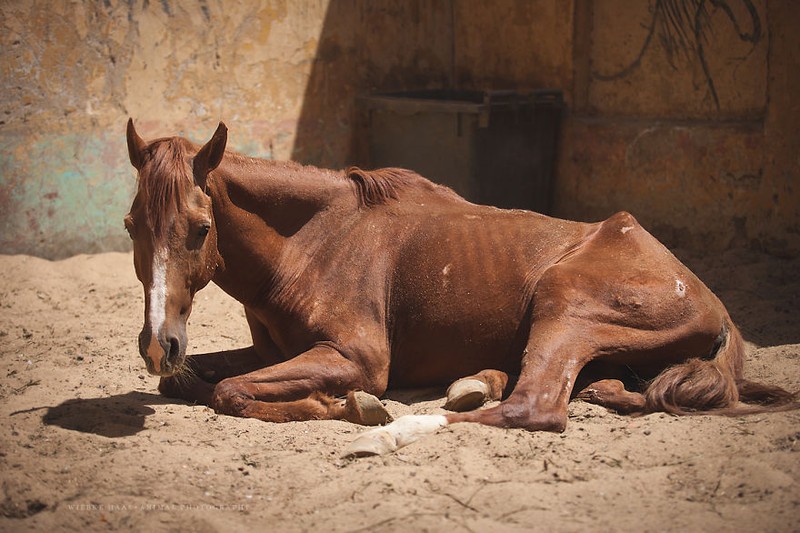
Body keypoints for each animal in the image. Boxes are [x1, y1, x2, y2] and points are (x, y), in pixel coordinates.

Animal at [123, 119, 792, 454]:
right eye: (131, 225)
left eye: (200, 228)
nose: (158, 345)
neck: (313, 241)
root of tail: (712, 300)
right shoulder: (273, 352)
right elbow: (197, 381)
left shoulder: (355, 358)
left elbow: (228, 391)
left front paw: (341, 407)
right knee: (597, 390)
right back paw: (485, 382)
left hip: (564, 305)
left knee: (534, 408)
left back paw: (393, 428)